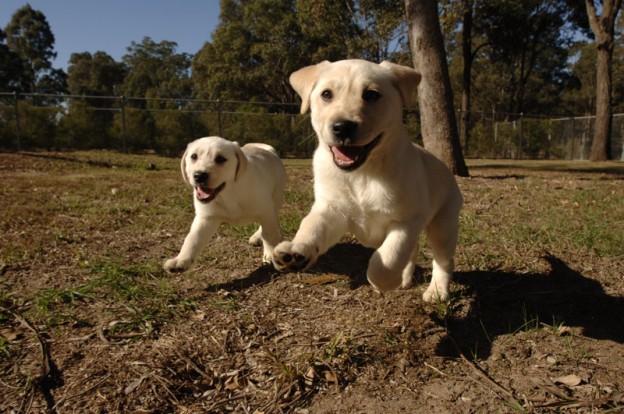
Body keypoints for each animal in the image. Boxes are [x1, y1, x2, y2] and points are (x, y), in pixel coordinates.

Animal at [272, 59, 464, 302]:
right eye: (327, 94)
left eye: (371, 95)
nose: (342, 127)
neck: (362, 173)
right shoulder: (332, 210)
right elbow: (311, 225)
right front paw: (296, 250)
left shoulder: (408, 221)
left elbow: (387, 258)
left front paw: (384, 281)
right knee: (413, 252)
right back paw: (405, 279)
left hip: (442, 226)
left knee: (443, 260)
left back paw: (437, 291)